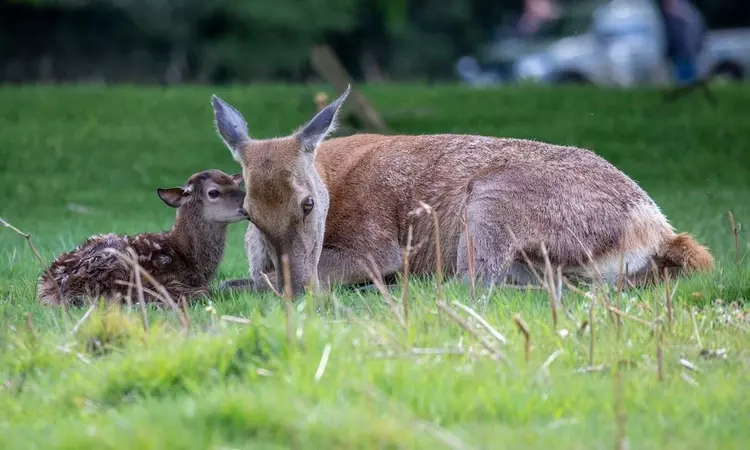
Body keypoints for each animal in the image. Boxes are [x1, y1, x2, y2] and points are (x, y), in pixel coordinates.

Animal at [212, 86, 716, 298]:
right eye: (248, 212)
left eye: (308, 203)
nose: (298, 287)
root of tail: (657, 231)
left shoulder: (377, 243)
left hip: (495, 198)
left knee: (475, 281)